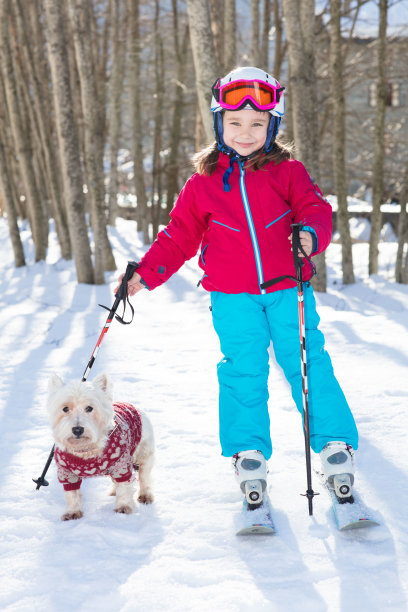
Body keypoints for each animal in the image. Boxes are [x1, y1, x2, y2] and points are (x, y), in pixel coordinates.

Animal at [47, 372, 155, 520]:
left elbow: (124, 486)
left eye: (89, 408)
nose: (77, 430)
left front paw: (123, 507)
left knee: (144, 477)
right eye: (65, 408)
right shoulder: (66, 473)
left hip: (143, 454)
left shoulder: (121, 464)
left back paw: (145, 496)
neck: (86, 449)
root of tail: (130, 404)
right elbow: (72, 494)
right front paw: (72, 512)